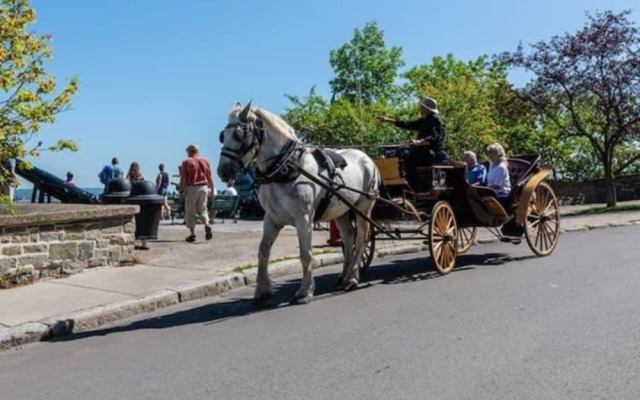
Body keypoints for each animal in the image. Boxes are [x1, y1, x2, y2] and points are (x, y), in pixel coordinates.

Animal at [218, 102, 378, 304]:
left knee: (361, 238)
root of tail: (367, 157)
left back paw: (352, 278)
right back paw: (344, 275)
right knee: (349, 238)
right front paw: (262, 290)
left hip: (363, 206)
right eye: (222, 136)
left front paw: (305, 290)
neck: (284, 169)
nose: (222, 171)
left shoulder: (304, 219)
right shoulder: (271, 218)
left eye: (239, 135)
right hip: (341, 209)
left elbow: (305, 253)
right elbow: (263, 251)